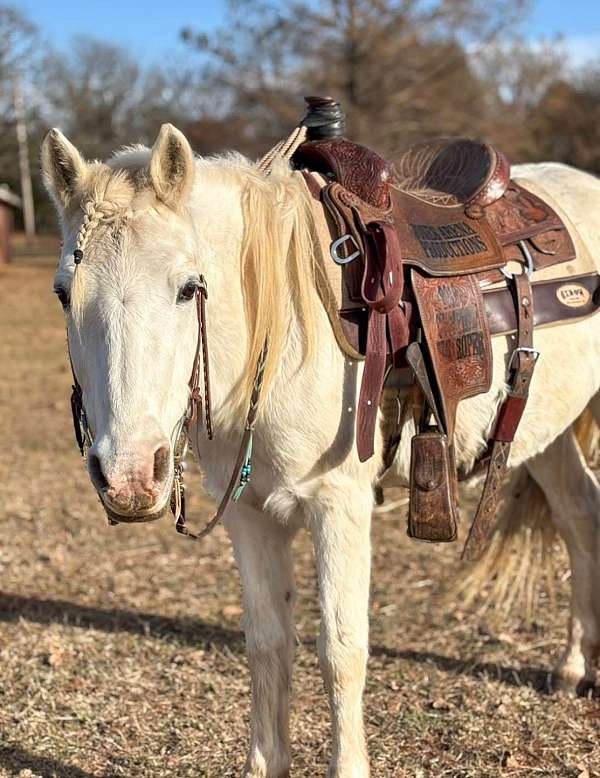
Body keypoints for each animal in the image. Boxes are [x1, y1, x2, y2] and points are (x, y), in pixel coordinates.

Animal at [42, 123, 600, 778]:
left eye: (188, 288)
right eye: (63, 294)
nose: (129, 475)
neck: (283, 325)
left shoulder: (338, 506)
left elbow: (341, 650)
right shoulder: (249, 513)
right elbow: (267, 645)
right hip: (547, 433)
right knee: (579, 516)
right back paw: (572, 667)